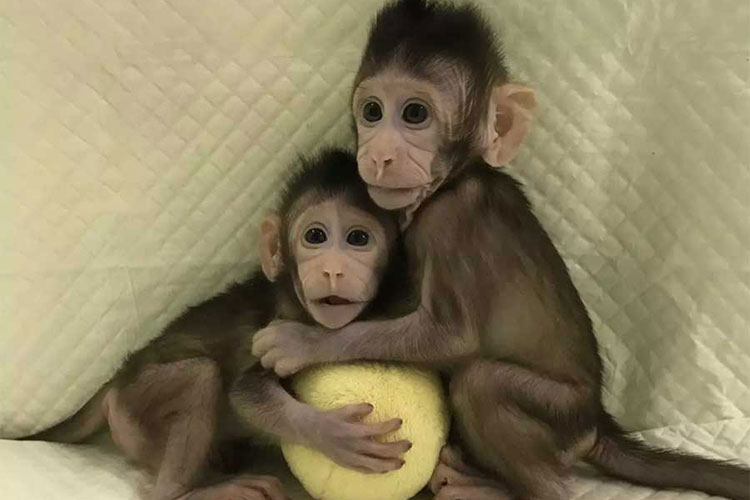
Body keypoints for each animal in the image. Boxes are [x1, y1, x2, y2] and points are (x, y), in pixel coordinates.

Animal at [25, 148, 412, 500]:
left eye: (358, 238)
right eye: (315, 236)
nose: (333, 270)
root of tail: (118, 379)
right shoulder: (277, 324)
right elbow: (245, 391)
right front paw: (332, 434)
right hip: (135, 402)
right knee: (201, 375)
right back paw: (186, 492)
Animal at [251, 1, 750, 499]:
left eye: (414, 114)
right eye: (372, 111)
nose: (378, 155)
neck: (455, 178)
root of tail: (595, 422)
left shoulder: (450, 221)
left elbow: (452, 337)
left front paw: (305, 341)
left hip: (558, 412)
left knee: (482, 384)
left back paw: (493, 486)